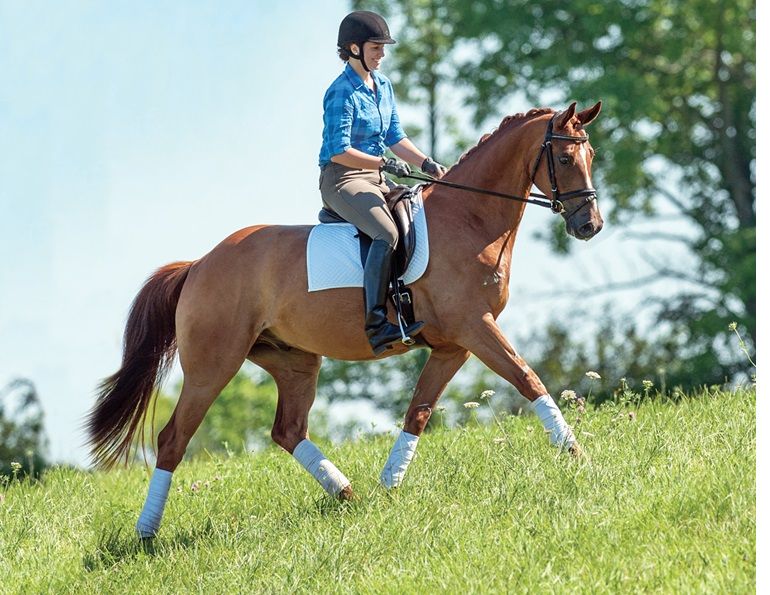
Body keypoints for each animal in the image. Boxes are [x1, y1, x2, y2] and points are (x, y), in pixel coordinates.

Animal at [86, 101, 604, 537]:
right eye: (563, 159)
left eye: (591, 154)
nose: (590, 225)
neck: (469, 219)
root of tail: (198, 265)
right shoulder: (476, 327)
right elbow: (528, 379)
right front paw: (578, 455)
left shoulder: (453, 345)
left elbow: (418, 412)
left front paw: (390, 484)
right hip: (214, 364)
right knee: (174, 439)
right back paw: (147, 534)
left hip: (294, 361)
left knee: (288, 430)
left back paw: (349, 496)